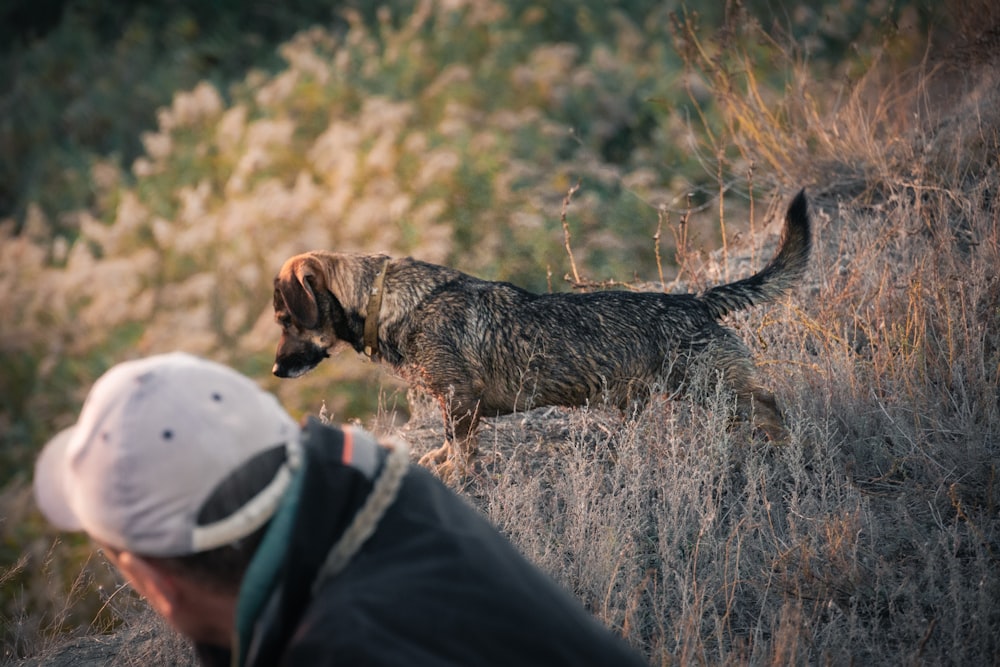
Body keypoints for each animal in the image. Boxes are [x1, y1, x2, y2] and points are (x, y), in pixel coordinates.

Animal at [274, 188, 812, 472]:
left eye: (284, 320)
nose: (277, 371)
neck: (389, 300)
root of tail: (696, 299)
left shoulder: (460, 399)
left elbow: (461, 447)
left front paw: (456, 473)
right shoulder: (454, 403)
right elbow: (448, 441)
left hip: (708, 382)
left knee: (768, 403)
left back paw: (785, 450)